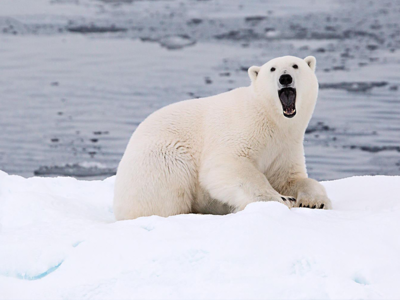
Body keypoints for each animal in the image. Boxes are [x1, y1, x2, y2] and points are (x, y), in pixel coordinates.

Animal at [114, 55, 332, 219]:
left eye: (295, 65)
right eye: (272, 69)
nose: (285, 78)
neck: (271, 118)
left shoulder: (285, 146)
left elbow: (291, 178)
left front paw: (315, 202)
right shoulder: (243, 128)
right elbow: (228, 166)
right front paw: (282, 199)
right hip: (160, 158)